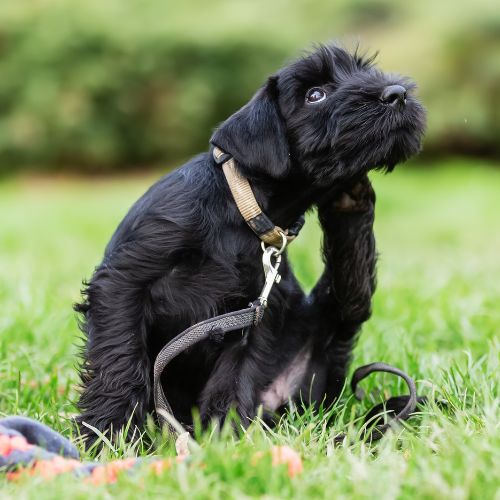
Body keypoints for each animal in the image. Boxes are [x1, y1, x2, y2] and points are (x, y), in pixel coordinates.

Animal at [75, 45, 426, 444]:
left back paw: (351, 197)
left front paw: (221, 437)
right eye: (314, 94)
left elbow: (235, 374)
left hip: (326, 333)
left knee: (351, 294)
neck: (241, 209)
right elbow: (120, 357)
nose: (397, 94)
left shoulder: (259, 311)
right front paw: (109, 432)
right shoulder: (125, 281)